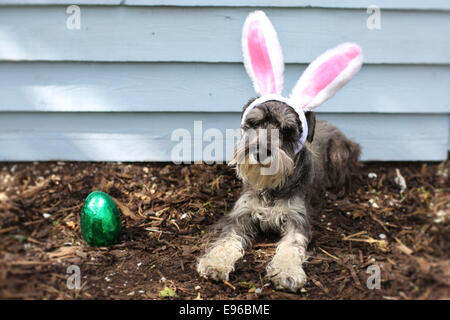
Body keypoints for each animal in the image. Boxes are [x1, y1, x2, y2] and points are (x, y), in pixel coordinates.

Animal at [196, 11, 362, 292]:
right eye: (254, 123)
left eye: (287, 130)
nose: (261, 152)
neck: (270, 188)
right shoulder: (240, 215)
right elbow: (226, 240)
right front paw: (215, 264)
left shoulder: (298, 220)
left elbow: (291, 247)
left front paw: (287, 272)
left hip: (341, 154)